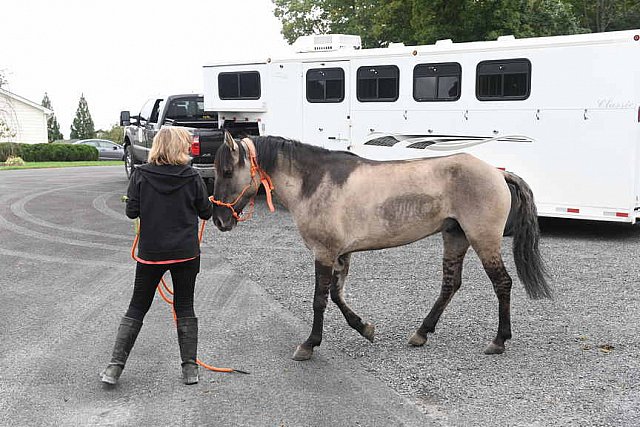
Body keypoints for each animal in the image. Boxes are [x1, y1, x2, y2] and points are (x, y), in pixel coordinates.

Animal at [210, 133, 552, 362]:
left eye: (226, 171)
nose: (219, 220)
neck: (315, 182)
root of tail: (498, 173)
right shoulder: (340, 254)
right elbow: (337, 296)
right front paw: (364, 328)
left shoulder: (324, 253)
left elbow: (320, 300)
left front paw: (309, 344)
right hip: (455, 236)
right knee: (450, 285)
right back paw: (421, 333)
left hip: (483, 239)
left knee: (502, 283)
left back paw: (499, 340)